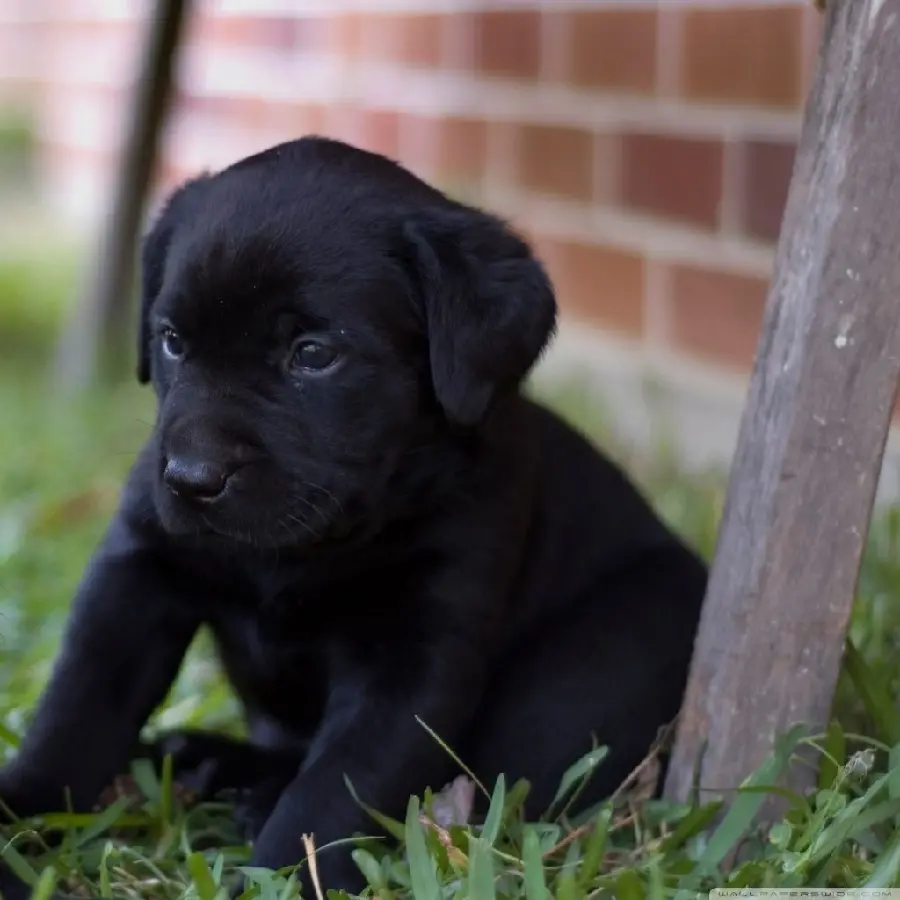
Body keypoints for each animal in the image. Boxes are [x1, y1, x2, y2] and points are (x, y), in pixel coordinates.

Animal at [0, 137, 708, 896]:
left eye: (313, 354)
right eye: (172, 341)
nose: (191, 479)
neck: (302, 549)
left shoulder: (413, 654)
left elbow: (335, 790)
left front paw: (278, 876)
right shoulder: (135, 576)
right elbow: (74, 714)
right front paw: (21, 812)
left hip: (593, 670)